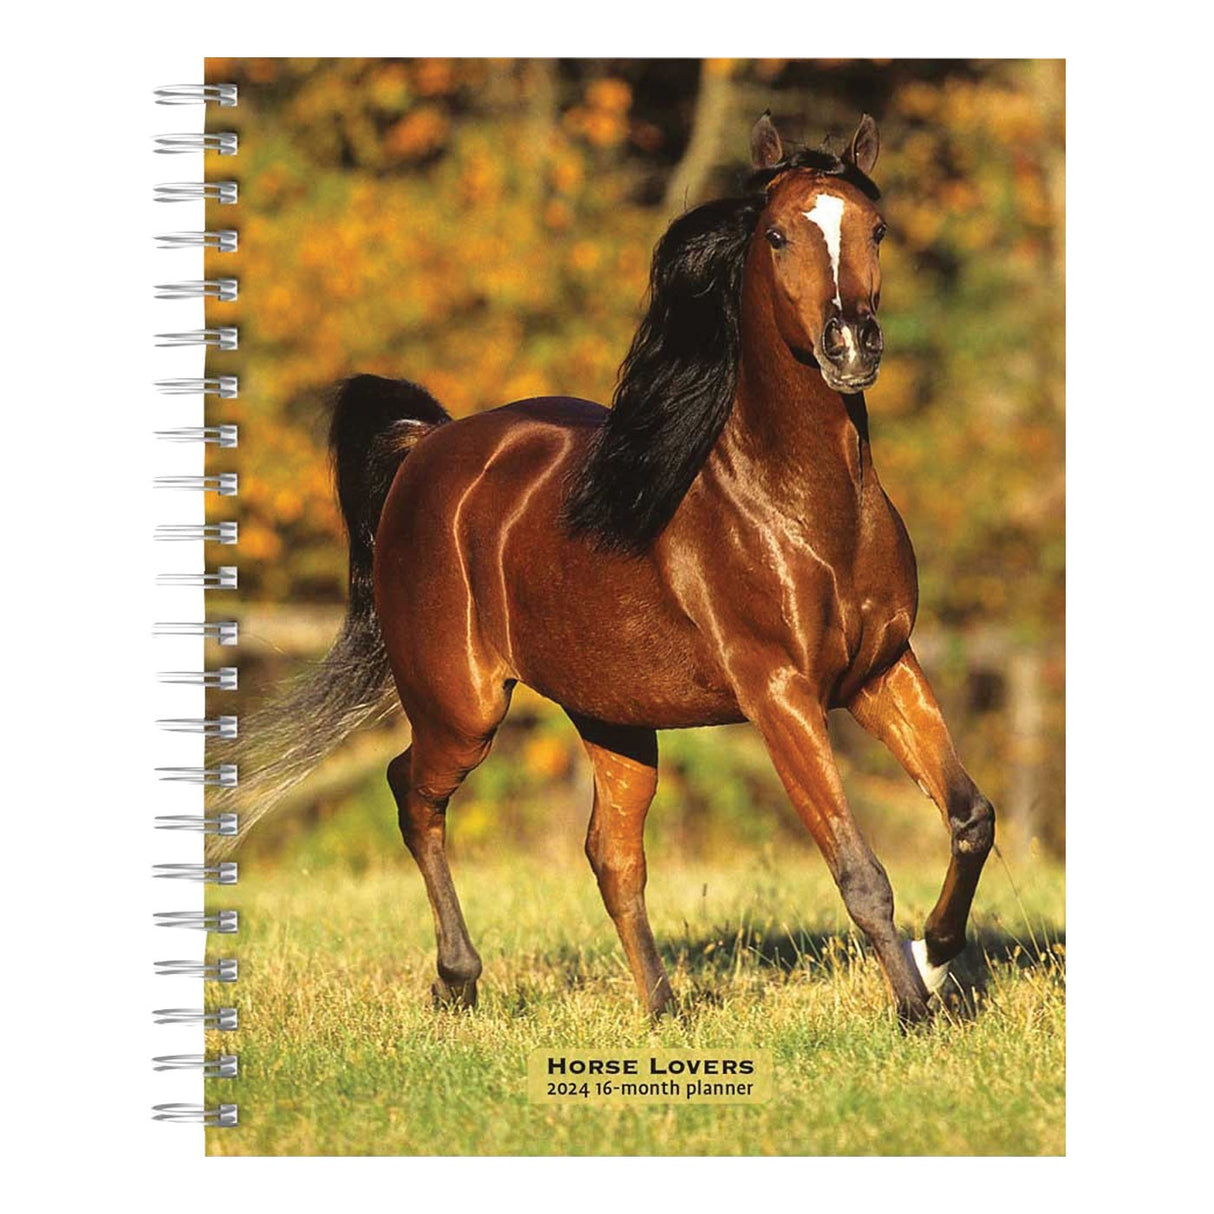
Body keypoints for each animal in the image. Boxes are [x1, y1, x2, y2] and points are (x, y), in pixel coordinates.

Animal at [238, 112, 995, 1026]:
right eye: (777, 235)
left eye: (876, 228)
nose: (850, 345)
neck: (804, 510)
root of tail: (429, 448)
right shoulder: (780, 692)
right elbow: (860, 870)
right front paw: (916, 1009)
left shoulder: (883, 670)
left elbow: (971, 816)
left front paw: (942, 954)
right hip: (463, 708)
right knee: (412, 793)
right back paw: (459, 981)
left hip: (612, 716)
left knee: (611, 854)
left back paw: (663, 1008)